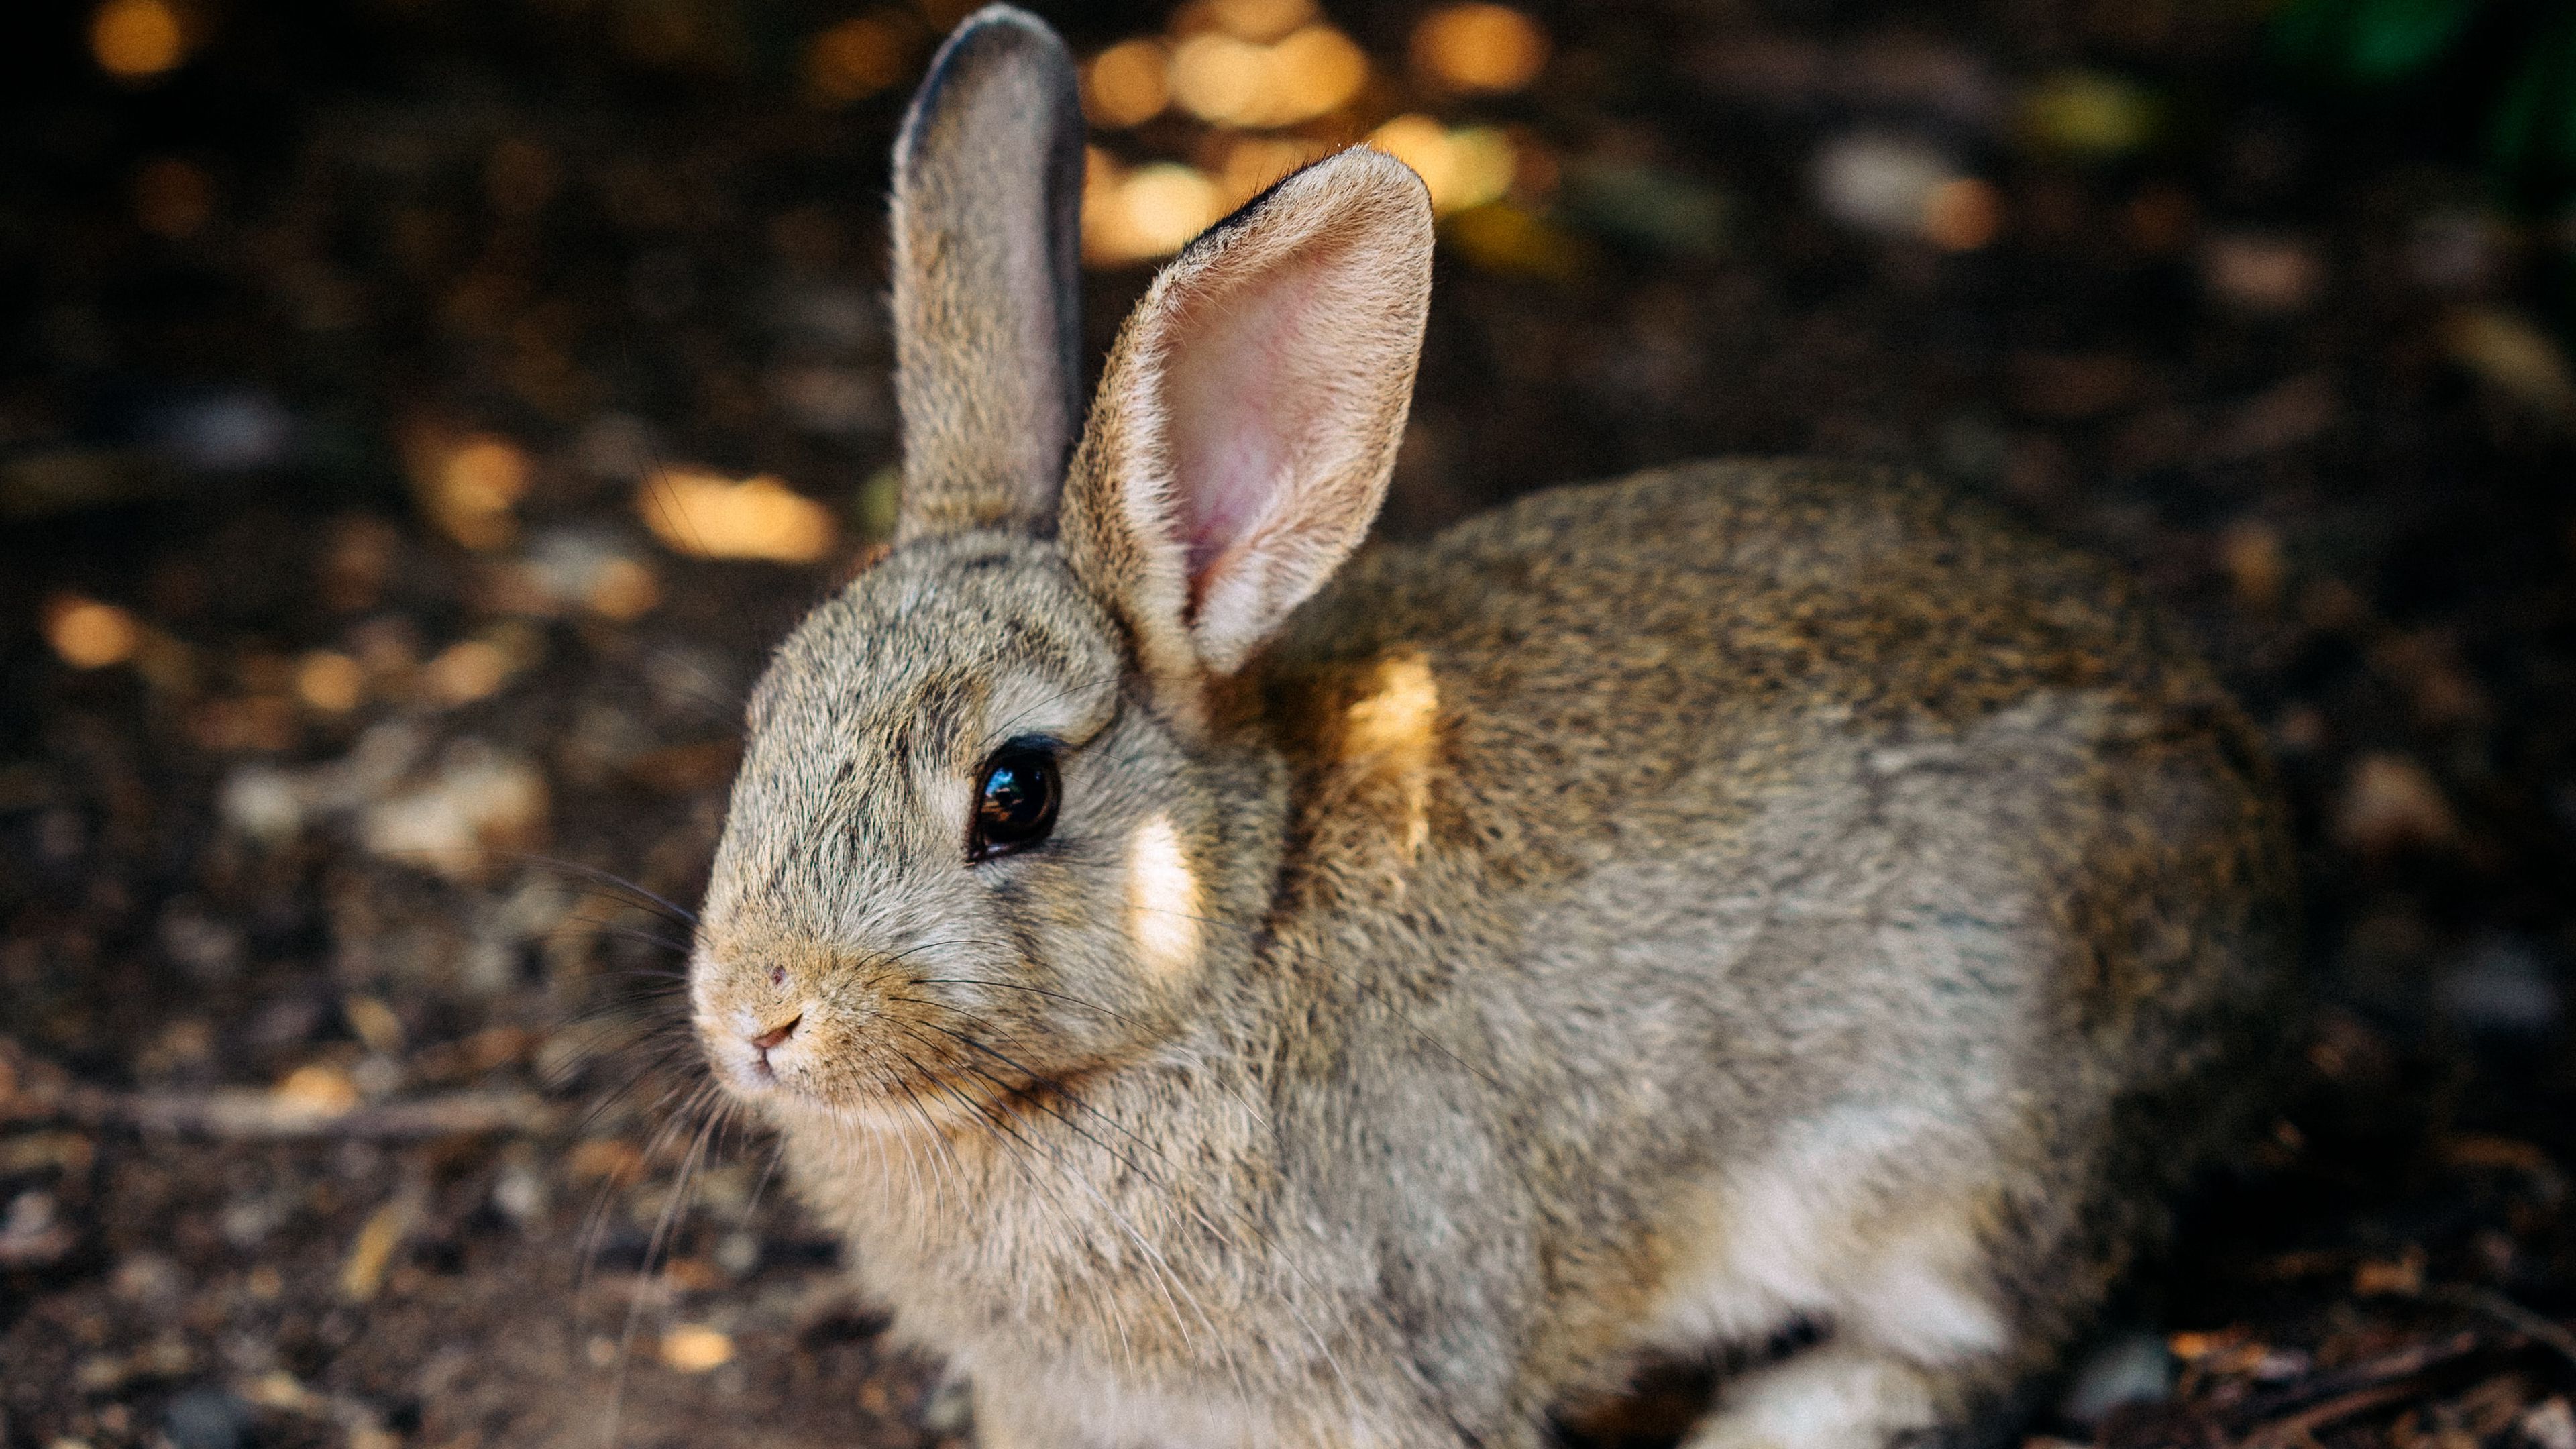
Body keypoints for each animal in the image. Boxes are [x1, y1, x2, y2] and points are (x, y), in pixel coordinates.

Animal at [686, 7, 2298, 1447]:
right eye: (767, 717)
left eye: (1014, 793)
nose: (756, 1015)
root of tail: (2249, 822)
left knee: (1993, 1341)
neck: (1227, 938)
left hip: (1963, 1170)